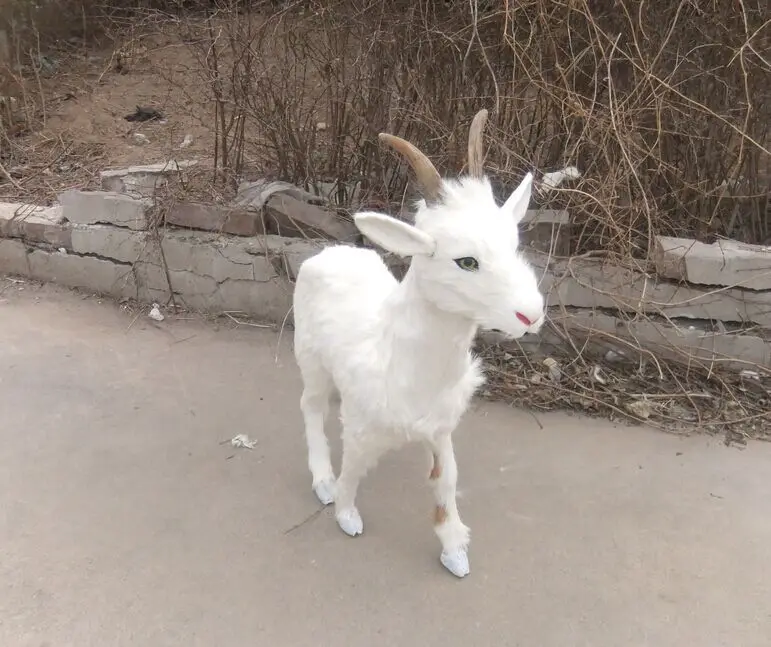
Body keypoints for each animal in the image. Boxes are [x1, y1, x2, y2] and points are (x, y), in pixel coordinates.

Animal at [291, 109, 545, 578]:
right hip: (310, 360)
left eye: (515, 245)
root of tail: (329, 253)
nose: (531, 315)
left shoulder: (441, 427)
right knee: (311, 407)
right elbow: (353, 468)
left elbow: (445, 479)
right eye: (466, 261)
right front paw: (345, 513)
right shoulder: (361, 423)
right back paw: (322, 481)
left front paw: (454, 550)